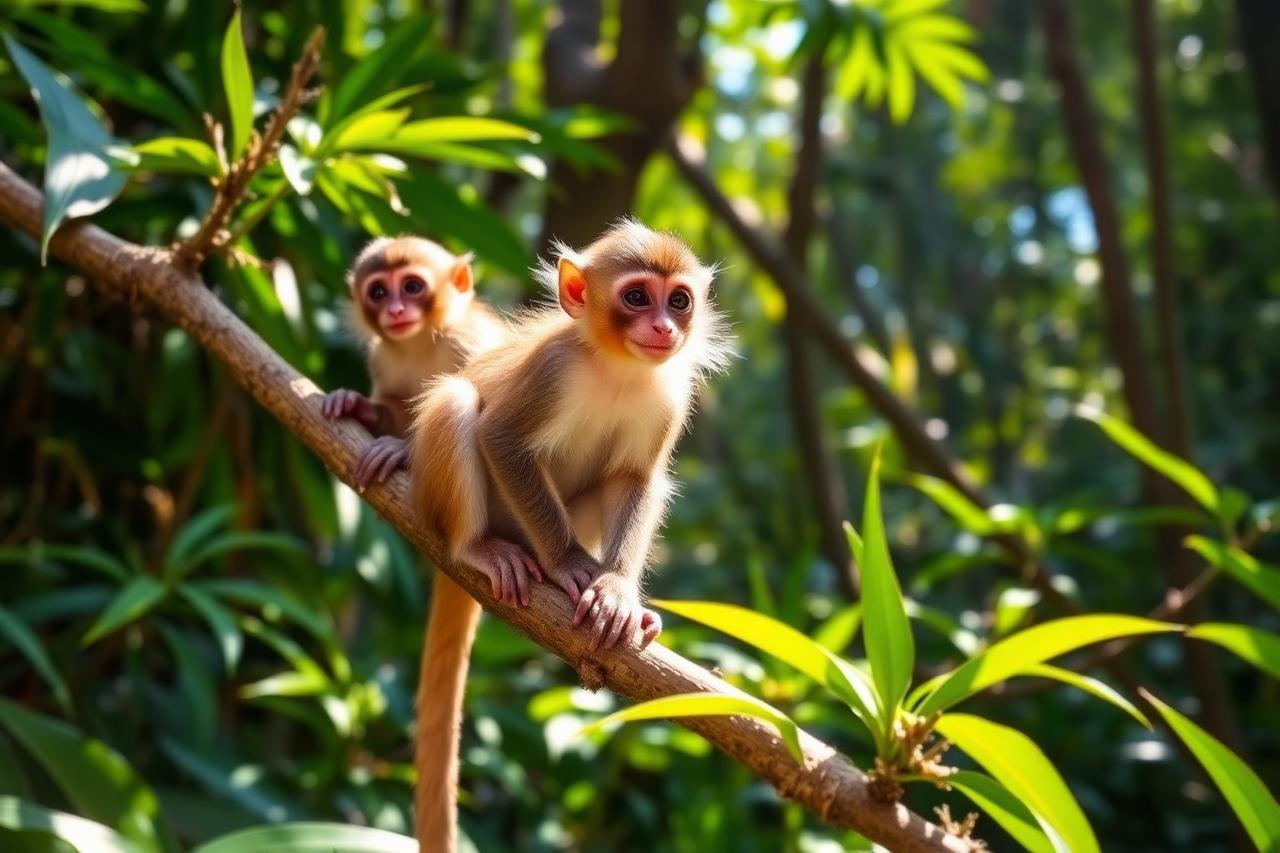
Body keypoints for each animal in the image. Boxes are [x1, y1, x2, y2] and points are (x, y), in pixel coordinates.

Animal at [321, 235, 507, 490]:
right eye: (378, 292)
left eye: (412, 287)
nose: (395, 310)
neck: (421, 345)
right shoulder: (379, 359)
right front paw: (355, 404)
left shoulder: (467, 340)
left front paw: (402, 449)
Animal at [407, 219, 729, 851]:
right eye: (638, 296)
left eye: (679, 300)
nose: (664, 326)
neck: (618, 367)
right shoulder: (554, 369)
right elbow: (501, 438)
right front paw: (568, 565)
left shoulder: (669, 396)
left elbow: (636, 480)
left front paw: (618, 592)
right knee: (457, 403)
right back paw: (478, 549)